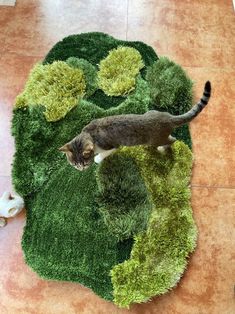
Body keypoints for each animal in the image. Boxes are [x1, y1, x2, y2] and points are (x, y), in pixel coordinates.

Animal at [59, 79, 211, 170]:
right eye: (74, 164)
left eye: (84, 163)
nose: (80, 169)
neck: (89, 134)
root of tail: (167, 117)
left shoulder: (112, 146)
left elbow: (105, 153)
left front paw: (98, 158)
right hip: (151, 112)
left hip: (155, 139)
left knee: (172, 140)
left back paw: (162, 148)